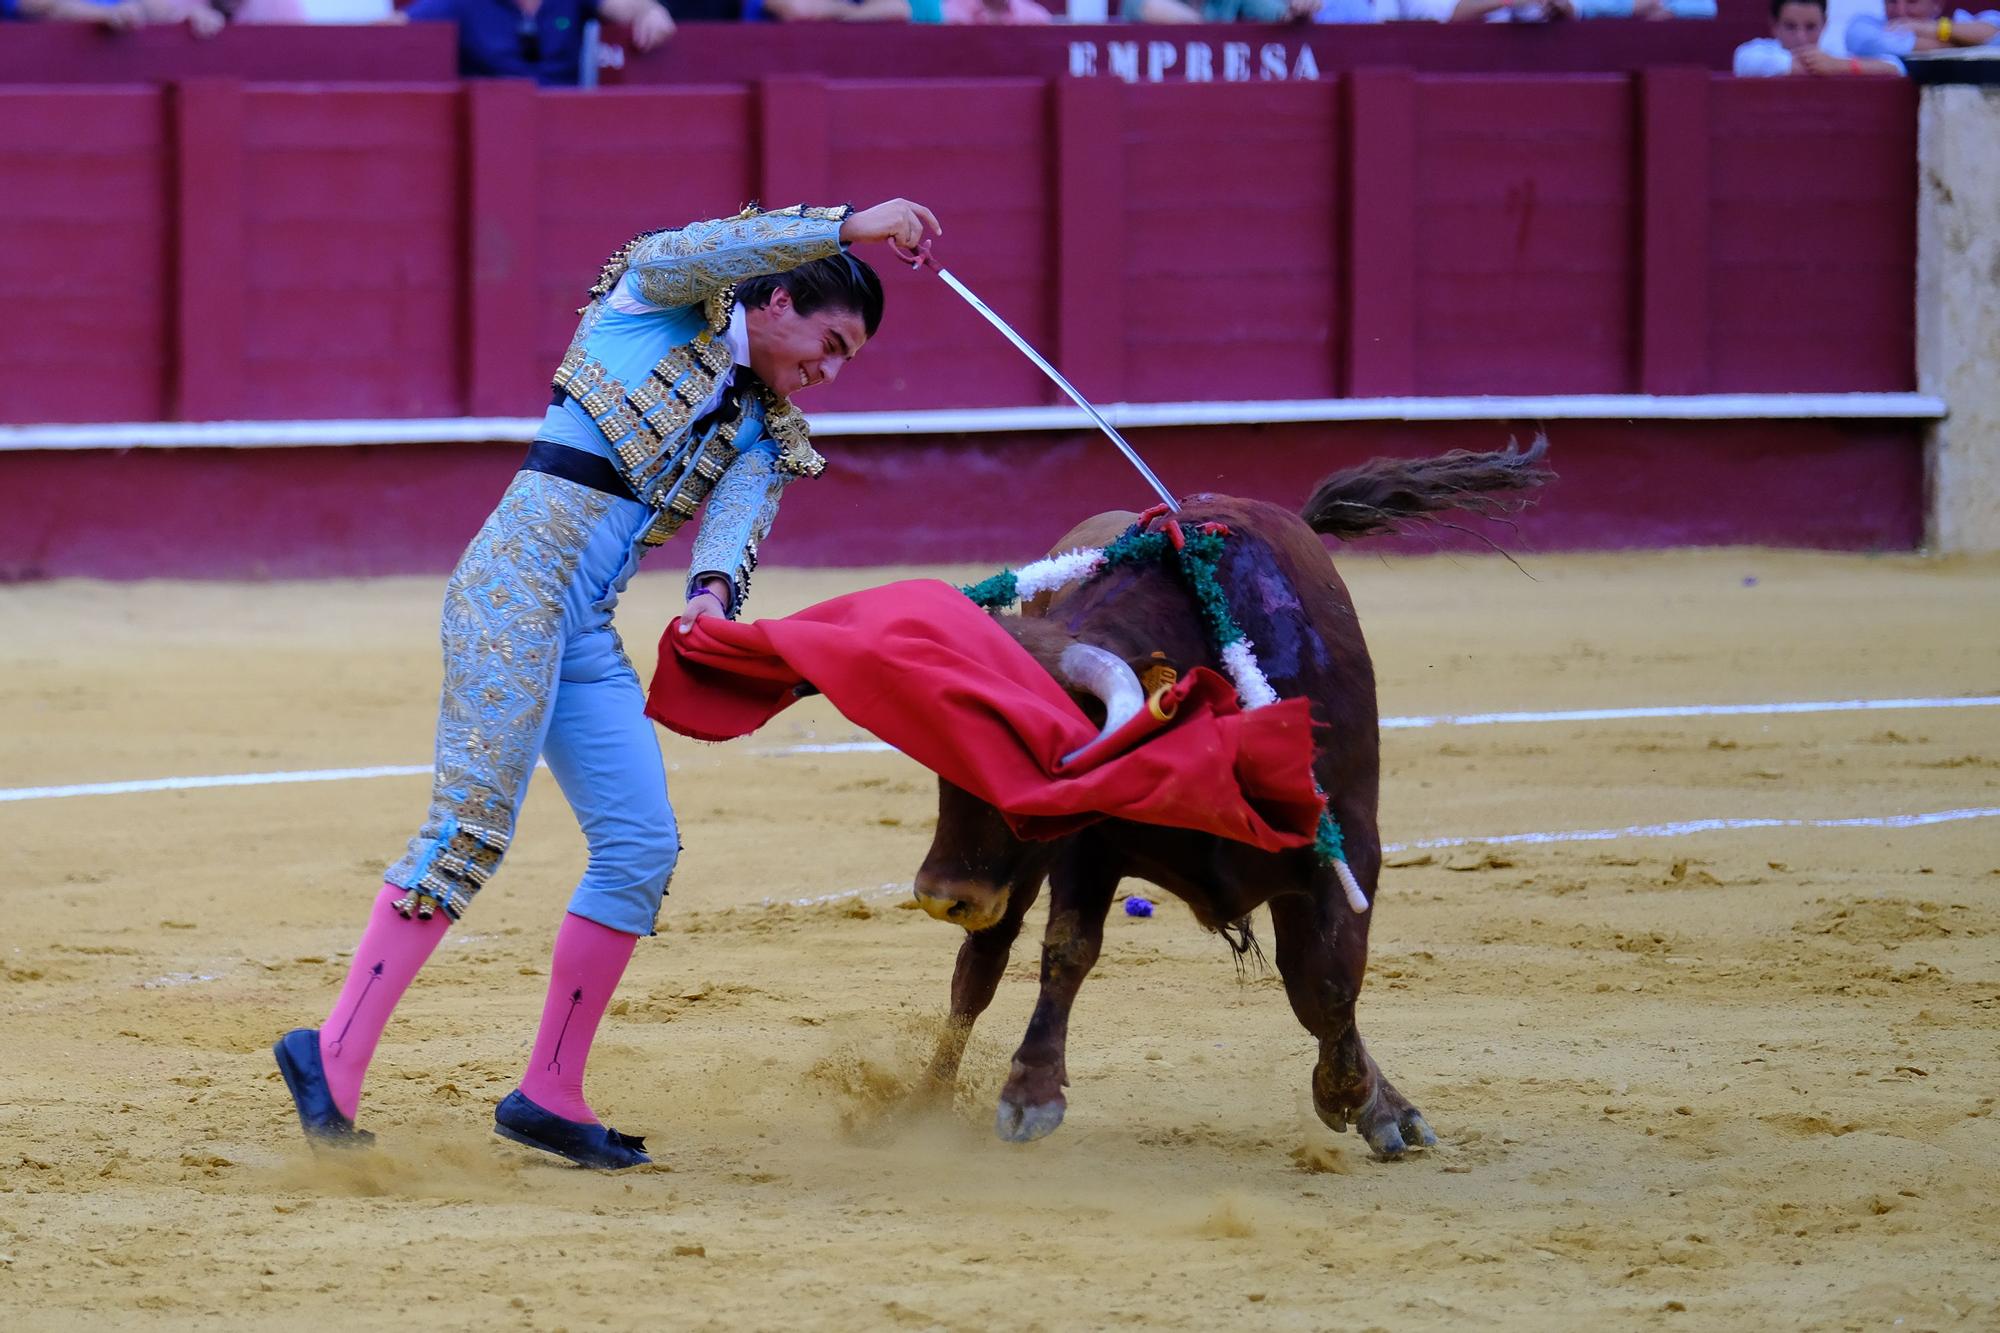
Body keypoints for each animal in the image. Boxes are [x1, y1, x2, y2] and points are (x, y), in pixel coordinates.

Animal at [908, 440, 1544, 1160]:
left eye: (1038, 765)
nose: (942, 894)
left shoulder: (1345, 843)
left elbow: (1329, 978)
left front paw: (1355, 1097)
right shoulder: (1087, 845)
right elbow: (1068, 946)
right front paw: (1030, 1092)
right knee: (981, 965)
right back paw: (922, 1104)